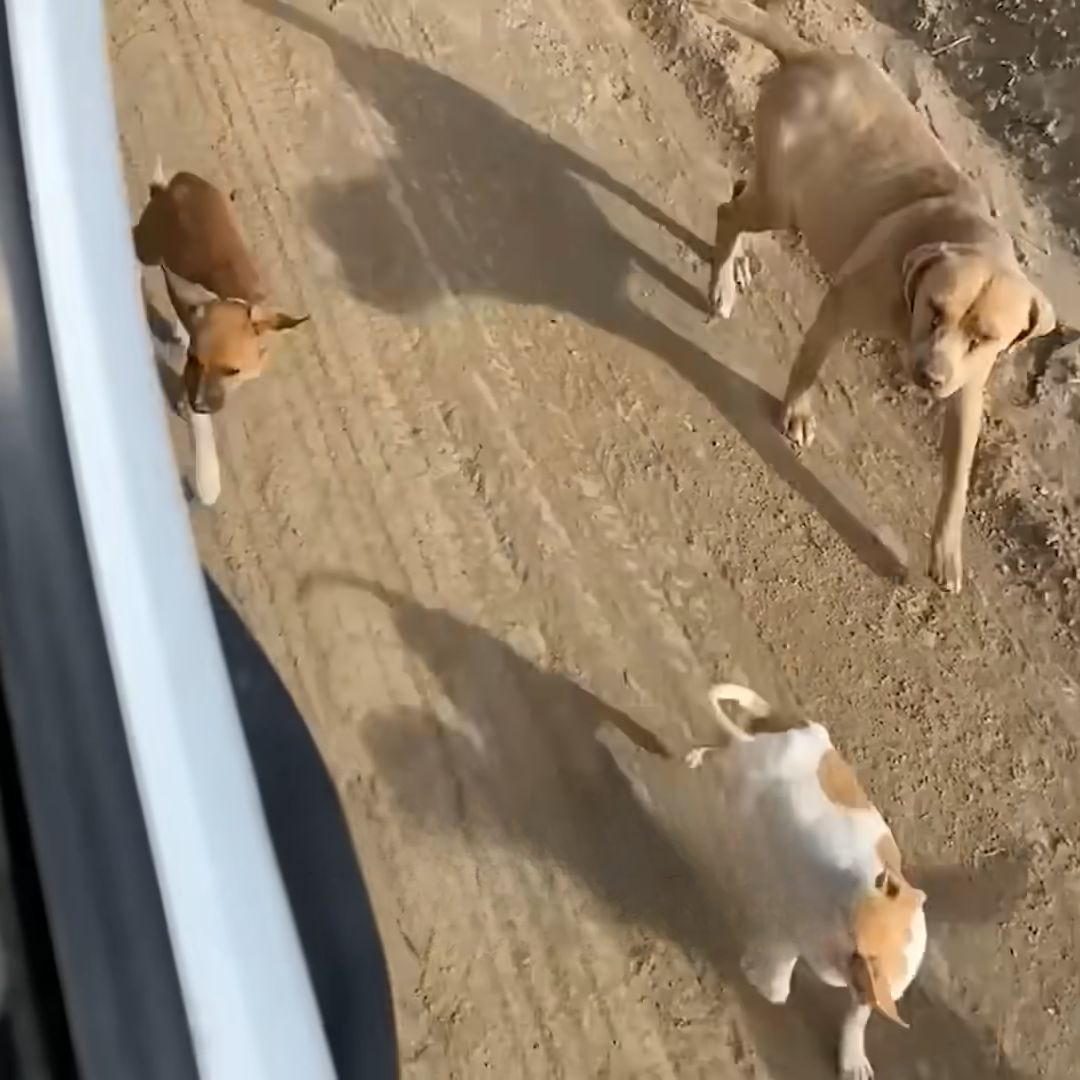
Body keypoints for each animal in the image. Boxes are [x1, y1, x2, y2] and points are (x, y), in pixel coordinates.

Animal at [133, 160, 308, 505]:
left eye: (232, 370)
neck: (231, 299)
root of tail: (176, 184)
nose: (199, 404)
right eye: (195, 359)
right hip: (147, 246)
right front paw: (207, 480)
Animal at [691, 0, 1054, 591]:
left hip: (779, 194)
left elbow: (957, 480)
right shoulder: (842, 304)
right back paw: (721, 280)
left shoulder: (969, 393)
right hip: (784, 202)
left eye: (984, 337)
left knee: (738, 194)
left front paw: (946, 551)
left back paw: (735, 262)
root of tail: (810, 55)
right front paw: (797, 411)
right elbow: (810, 363)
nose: (929, 377)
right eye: (935, 309)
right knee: (729, 212)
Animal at [691, 682, 928, 1080]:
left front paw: (853, 1059)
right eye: (846, 917)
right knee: (721, 754)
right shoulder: (794, 925)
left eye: (854, 949)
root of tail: (794, 727)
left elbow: (857, 1018)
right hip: (742, 766)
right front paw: (760, 976)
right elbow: (778, 976)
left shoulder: (868, 989)